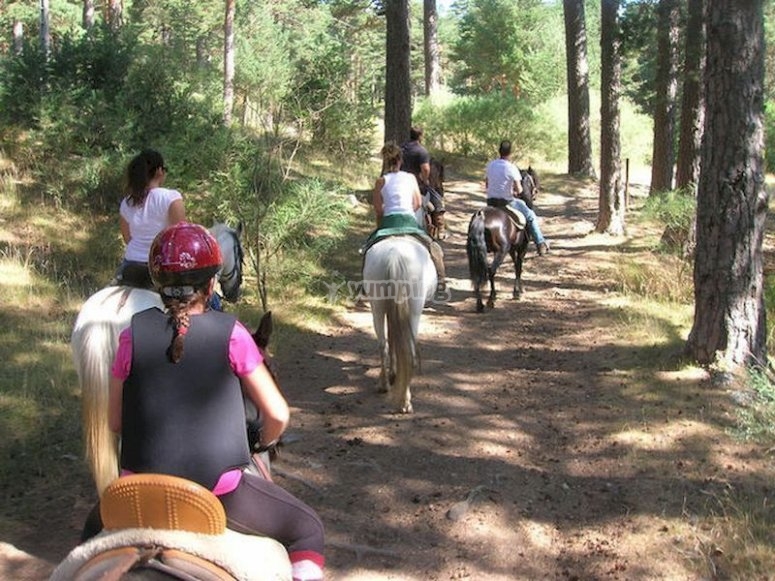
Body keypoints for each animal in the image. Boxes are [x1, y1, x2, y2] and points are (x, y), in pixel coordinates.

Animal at [362, 234, 436, 412]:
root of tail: (394, 257)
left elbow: (392, 337)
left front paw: (393, 372)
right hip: (414, 310)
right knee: (409, 352)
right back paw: (405, 401)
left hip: (377, 306)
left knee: (383, 345)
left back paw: (383, 385)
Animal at [466, 168, 540, 312]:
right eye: (533, 179)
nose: (536, 192)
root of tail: (481, 216)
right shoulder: (522, 248)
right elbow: (518, 266)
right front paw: (517, 292)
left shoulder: (511, 249)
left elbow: (516, 264)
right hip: (502, 250)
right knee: (491, 271)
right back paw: (490, 300)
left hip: (477, 252)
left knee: (478, 273)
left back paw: (480, 304)